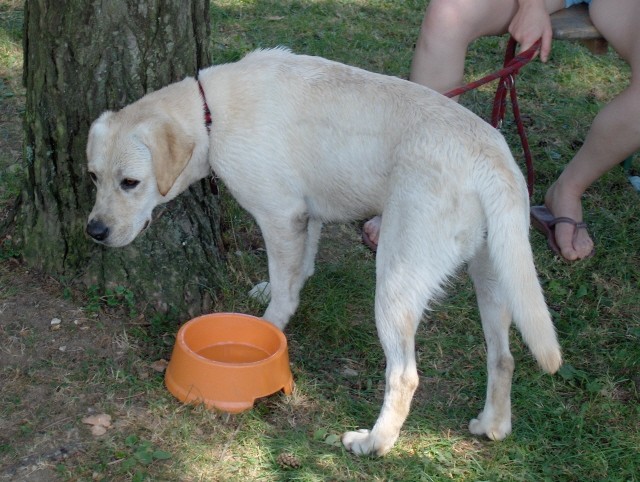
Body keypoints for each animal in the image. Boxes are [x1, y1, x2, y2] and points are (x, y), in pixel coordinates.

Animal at [89, 48, 560, 456]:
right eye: (93, 176)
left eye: (130, 182)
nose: (94, 231)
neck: (211, 116)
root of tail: (493, 158)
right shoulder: (307, 214)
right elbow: (300, 269)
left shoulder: (280, 216)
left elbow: (284, 292)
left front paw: (268, 329)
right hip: (495, 278)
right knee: (503, 358)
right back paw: (493, 425)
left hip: (394, 281)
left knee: (404, 376)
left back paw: (375, 443)